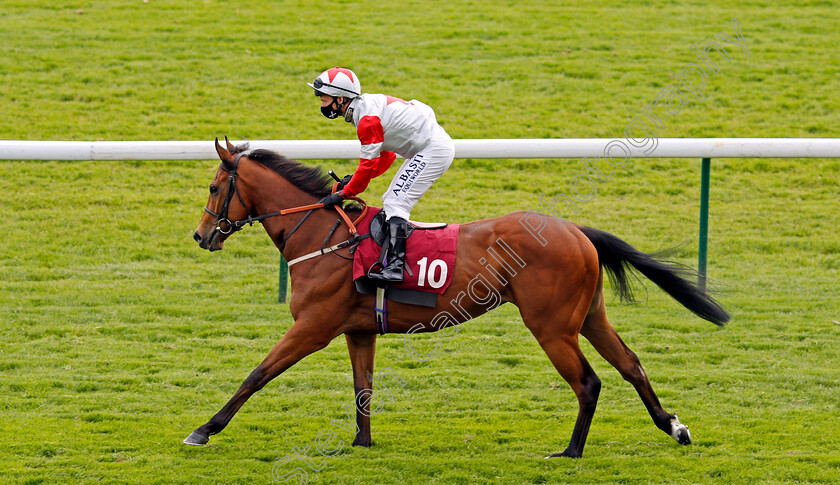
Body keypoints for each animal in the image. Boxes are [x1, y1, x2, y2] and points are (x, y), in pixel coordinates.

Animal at [187, 137, 724, 458]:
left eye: (214, 187)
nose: (201, 236)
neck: (323, 236)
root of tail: (576, 230)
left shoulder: (313, 327)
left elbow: (257, 374)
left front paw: (204, 429)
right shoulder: (358, 331)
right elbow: (363, 389)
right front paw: (362, 442)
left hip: (551, 326)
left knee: (589, 382)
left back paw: (571, 451)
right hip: (589, 317)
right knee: (631, 364)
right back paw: (673, 427)